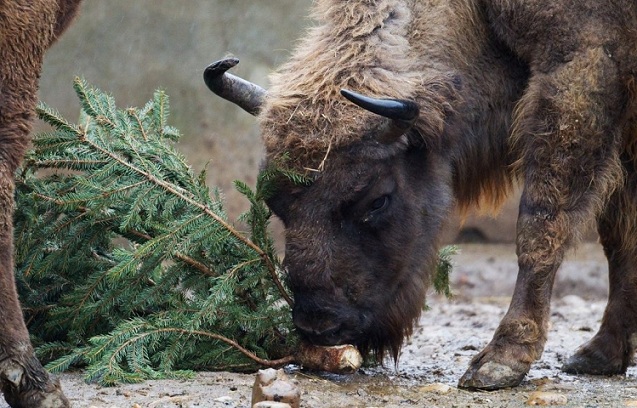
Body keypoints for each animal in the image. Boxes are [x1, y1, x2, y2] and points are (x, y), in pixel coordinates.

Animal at [205, 0, 636, 390]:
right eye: (275, 204)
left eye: (377, 200)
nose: (319, 324)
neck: (475, 15)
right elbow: (620, 241)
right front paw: (601, 355)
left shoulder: (579, 66)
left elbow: (542, 226)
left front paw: (499, 362)